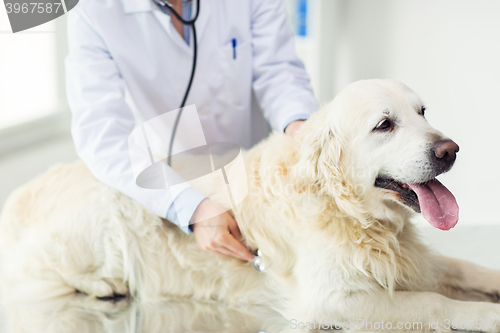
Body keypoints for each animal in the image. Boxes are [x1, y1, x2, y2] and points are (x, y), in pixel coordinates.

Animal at [0, 80, 500, 330]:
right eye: (384, 125)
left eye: (423, 112)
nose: (451, 150)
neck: (347, 210)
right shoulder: (331, 300)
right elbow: (435, 303)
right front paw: (487, 315)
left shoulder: (413, 259)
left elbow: (466, 269)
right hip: (102, 215)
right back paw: (104, 285)